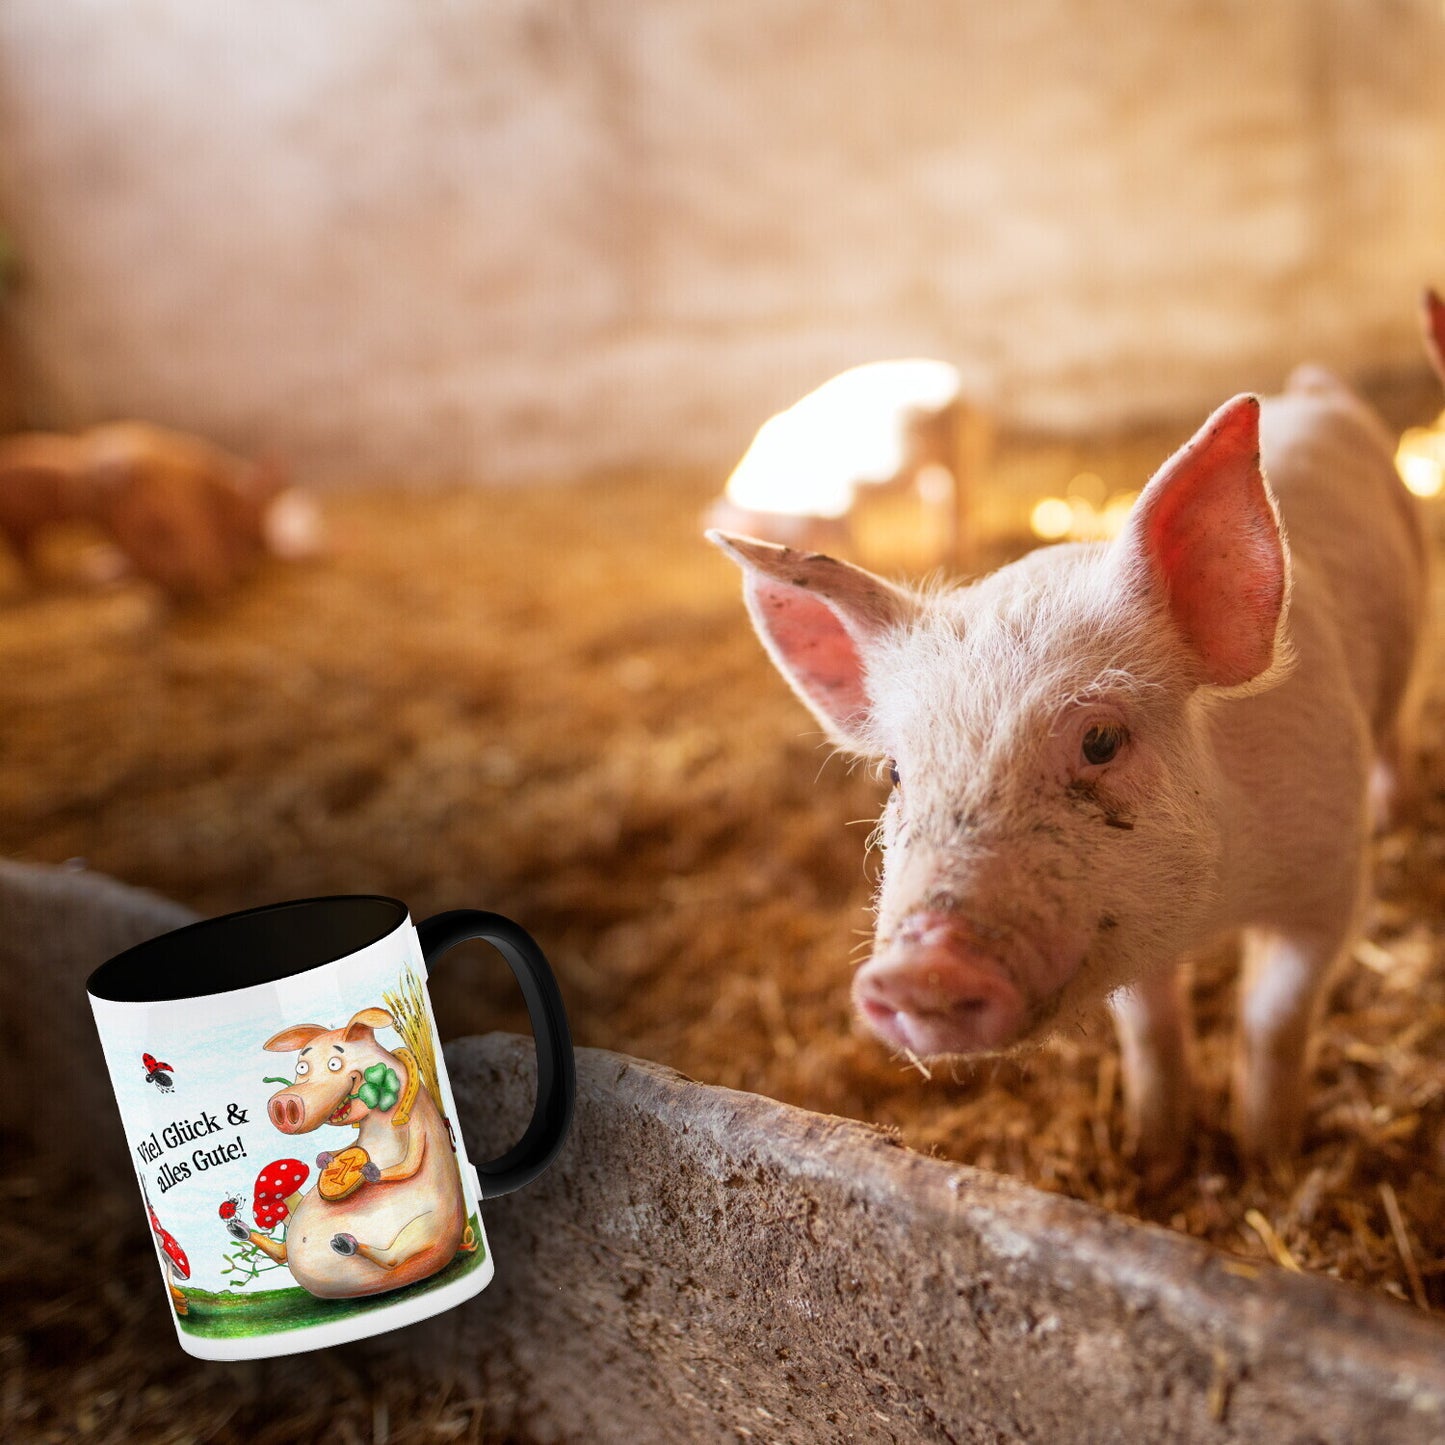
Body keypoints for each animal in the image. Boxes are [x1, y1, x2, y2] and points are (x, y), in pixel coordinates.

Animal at [710, 322, 1433, 1179]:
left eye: (1098, 740)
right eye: (895, 771)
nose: (917, 968)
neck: (1217, 904)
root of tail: (1311, 392)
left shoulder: (1327, 881)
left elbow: (1272, 1019)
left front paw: (1267, 1160)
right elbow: (1151, 1031)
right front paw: (1154, 1156)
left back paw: (1397, 812)